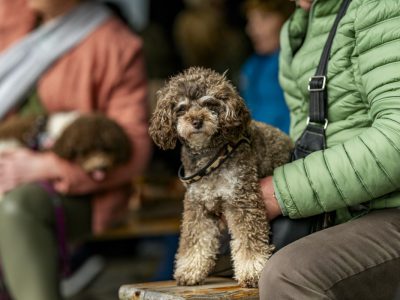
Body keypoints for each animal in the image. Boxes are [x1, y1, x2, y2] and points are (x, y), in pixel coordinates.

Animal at [148, 67, 292, 288]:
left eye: (209, 103)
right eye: (181, 108)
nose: (197, 121)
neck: (210, 157)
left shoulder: (242, 198)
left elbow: (248, 239)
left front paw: (252, 271)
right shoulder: (198, 205)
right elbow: (195, 239)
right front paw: (190, 270)